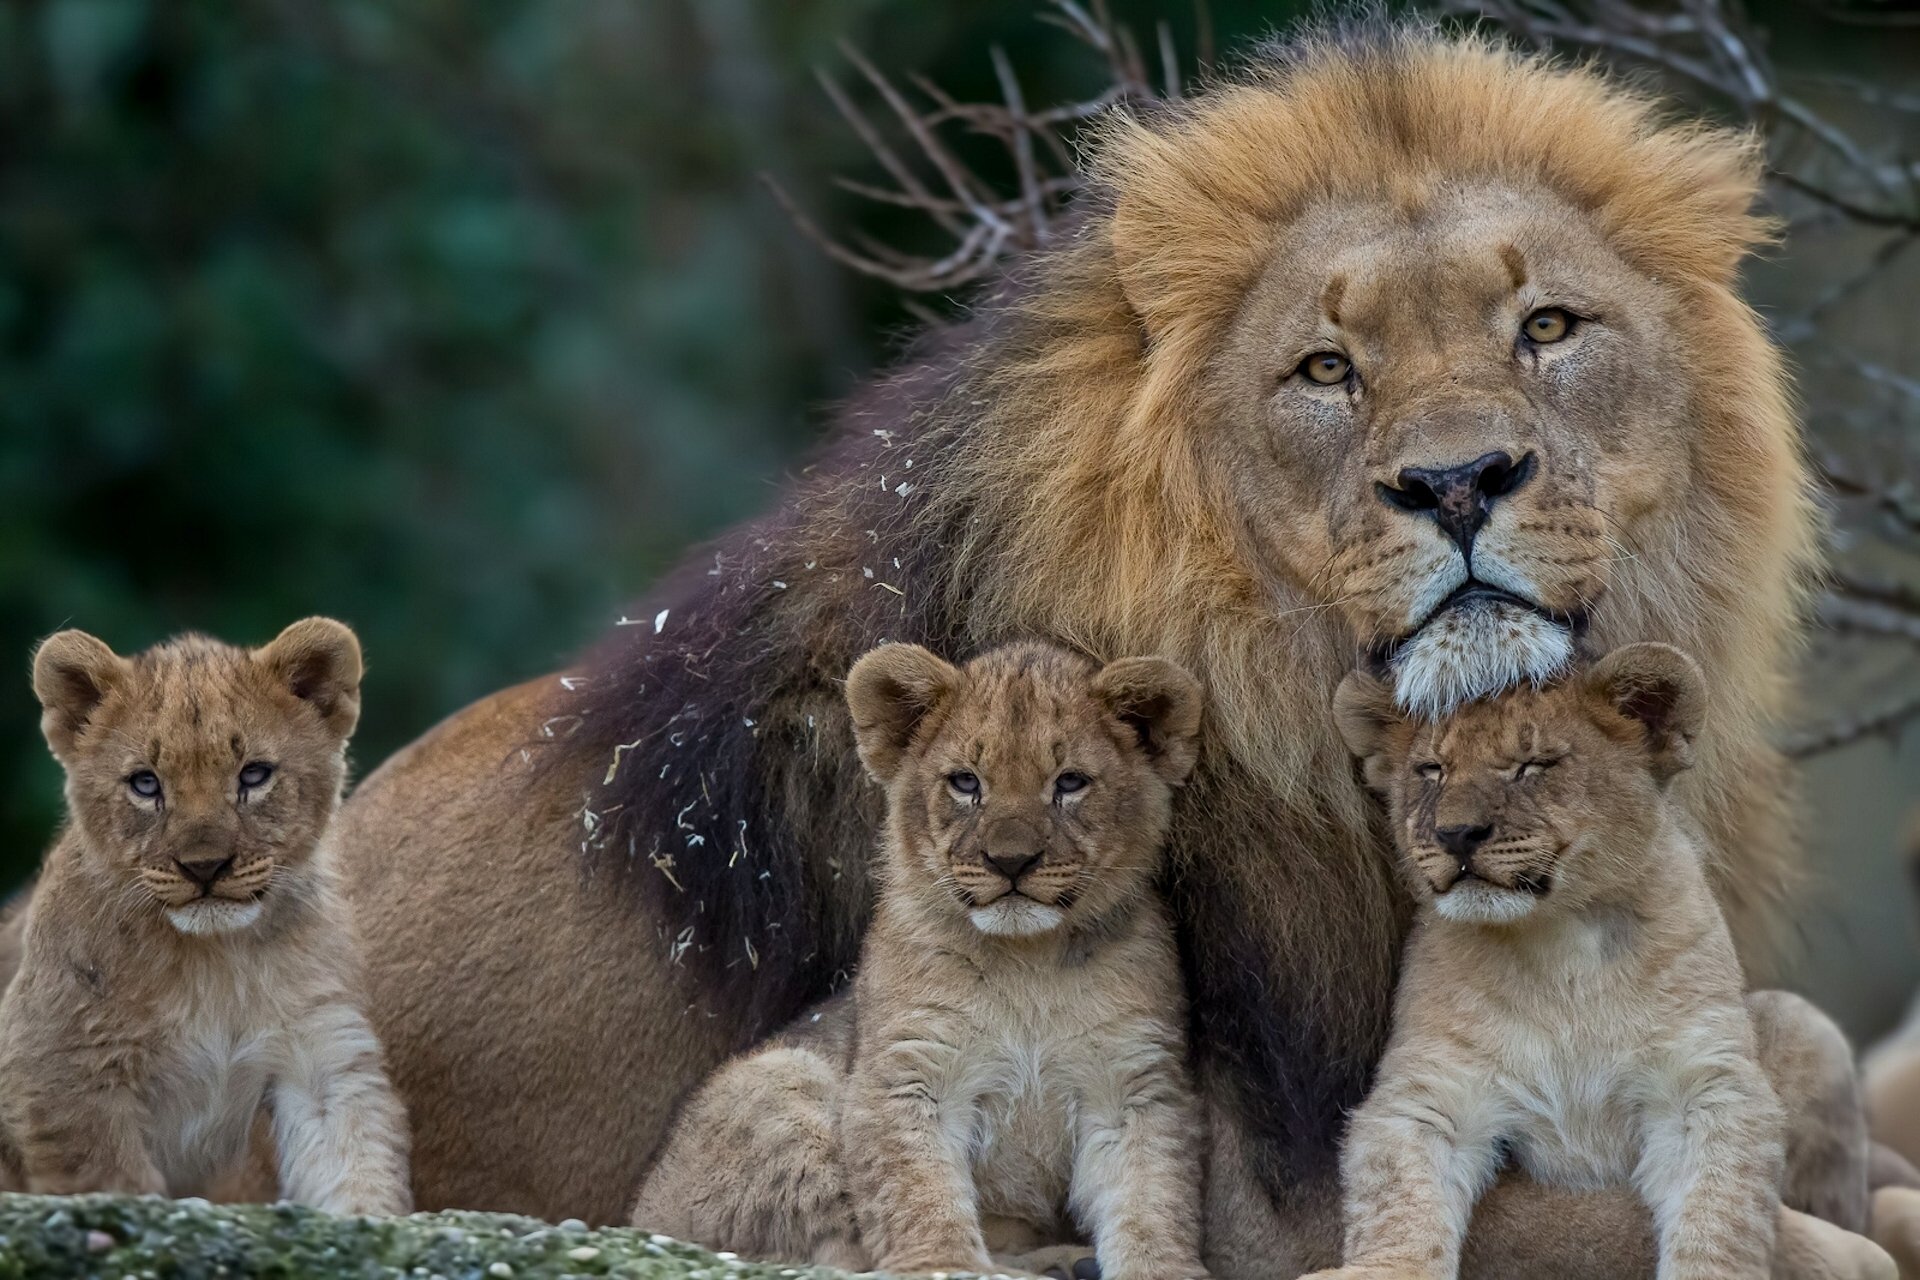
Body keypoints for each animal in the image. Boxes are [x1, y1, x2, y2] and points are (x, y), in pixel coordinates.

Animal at [337, 25, 1835, 1274]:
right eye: (1326, 369)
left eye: (1547, 328)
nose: (1459, 481)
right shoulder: (1280, 1178)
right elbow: (1748, 1233)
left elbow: (1801, 1052)